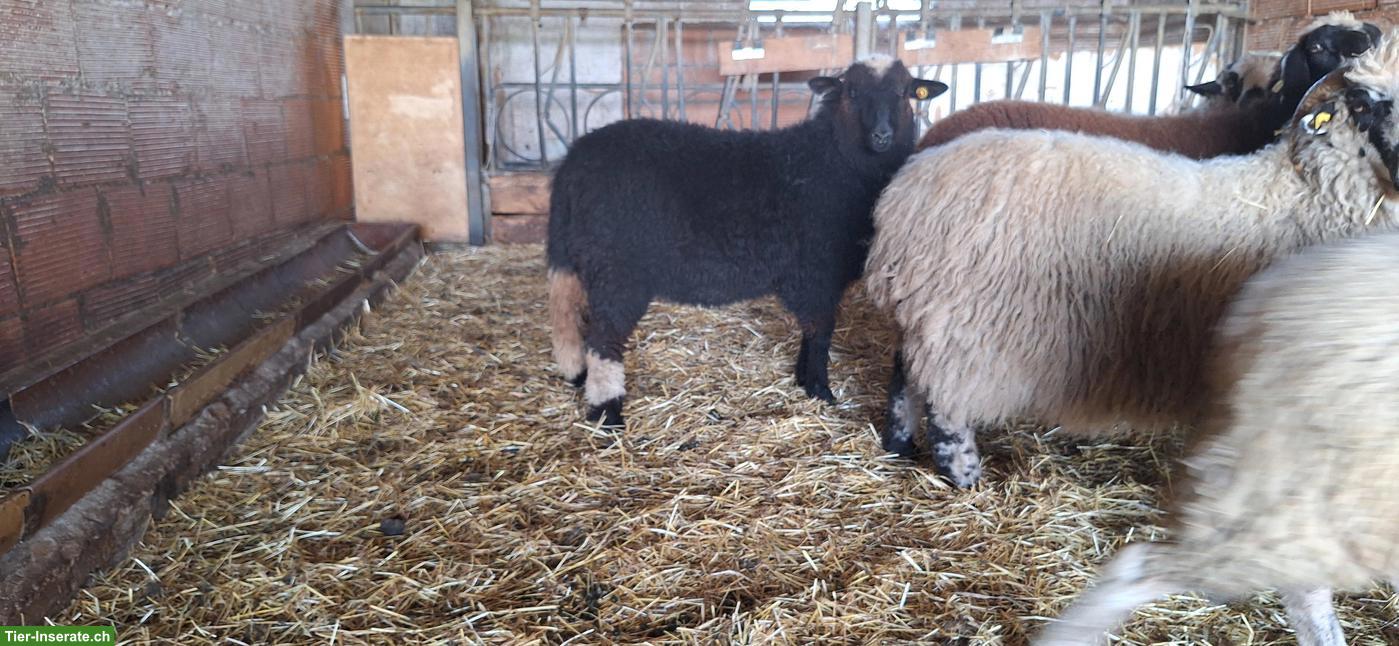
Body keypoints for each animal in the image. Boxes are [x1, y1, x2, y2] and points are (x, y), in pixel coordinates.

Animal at [547, 56, 947, 427]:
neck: (833, 159)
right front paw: (820, 390)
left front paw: (802, 380)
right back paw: (608, 414)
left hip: (582, 258)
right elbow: (820, 332)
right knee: (604, 342)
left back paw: (579, 378)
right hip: (618, 267)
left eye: (903, 93)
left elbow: (810, 332)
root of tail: (573, 161)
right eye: (851, 92)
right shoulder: (816, 272)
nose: (881, 135)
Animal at [864, 34, 1399, 487]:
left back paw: (899, 445)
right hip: (963, 325)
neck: (1304, 192)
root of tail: (909, 189)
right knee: (945, 406)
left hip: (930, 313)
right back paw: (965, 478)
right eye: (1361, 105)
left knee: (904, 375)